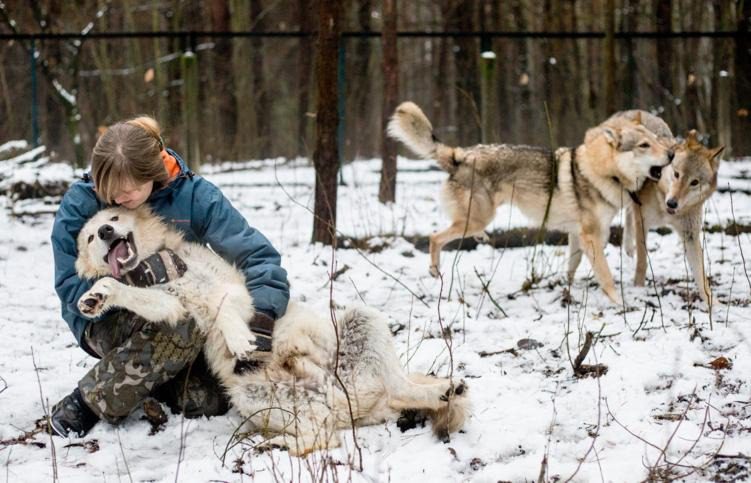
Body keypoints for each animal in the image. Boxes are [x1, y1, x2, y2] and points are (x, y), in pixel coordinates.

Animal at [72, 207, 470, 454]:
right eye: (91, 237)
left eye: (114, 217)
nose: (106, 231)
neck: (158, 265)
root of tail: (344, 397)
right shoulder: (174, 308)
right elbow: (125, 290)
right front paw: (97, 296)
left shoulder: (233, 293)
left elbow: (227, 310)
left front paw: (241, 339)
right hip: (253, 397)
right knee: (324, 435)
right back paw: (276, 445)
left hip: (362, 318)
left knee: (397, 388)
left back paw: (446, 389)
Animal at [390, 102, 672, 304]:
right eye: (644, 145)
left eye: (656, 141)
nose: (671, 153)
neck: (601, 171)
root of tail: (460, 155)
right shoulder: (592, 236)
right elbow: (606, 275)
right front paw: (620, 305)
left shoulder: (579, 236)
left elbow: (572, 268)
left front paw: (567, 294)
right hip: (477, 218)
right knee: (434, 237)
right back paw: (435, 270)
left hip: (477, 219)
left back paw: (479, 239)